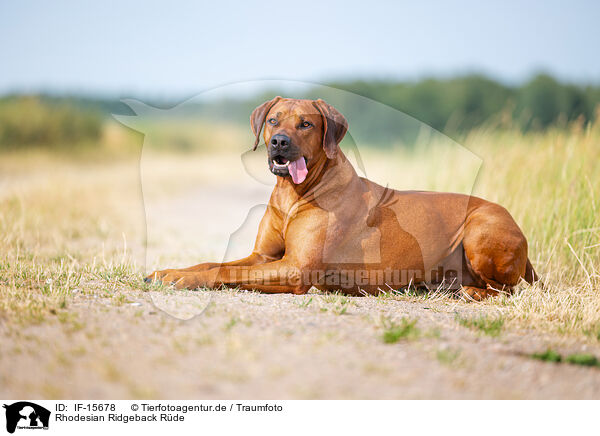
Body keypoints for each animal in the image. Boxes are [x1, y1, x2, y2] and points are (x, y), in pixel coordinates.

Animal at [146, 96, 540, 300]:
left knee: (508, 290)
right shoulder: (264, 256)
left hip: (480, 231)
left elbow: (228, 270)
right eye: (273, 120)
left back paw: (472, 292)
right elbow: (213, 263)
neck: (294, 195)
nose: (279, 142)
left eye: (305, 124)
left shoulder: (295, 269)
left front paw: (183, 280)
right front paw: (169, 271)